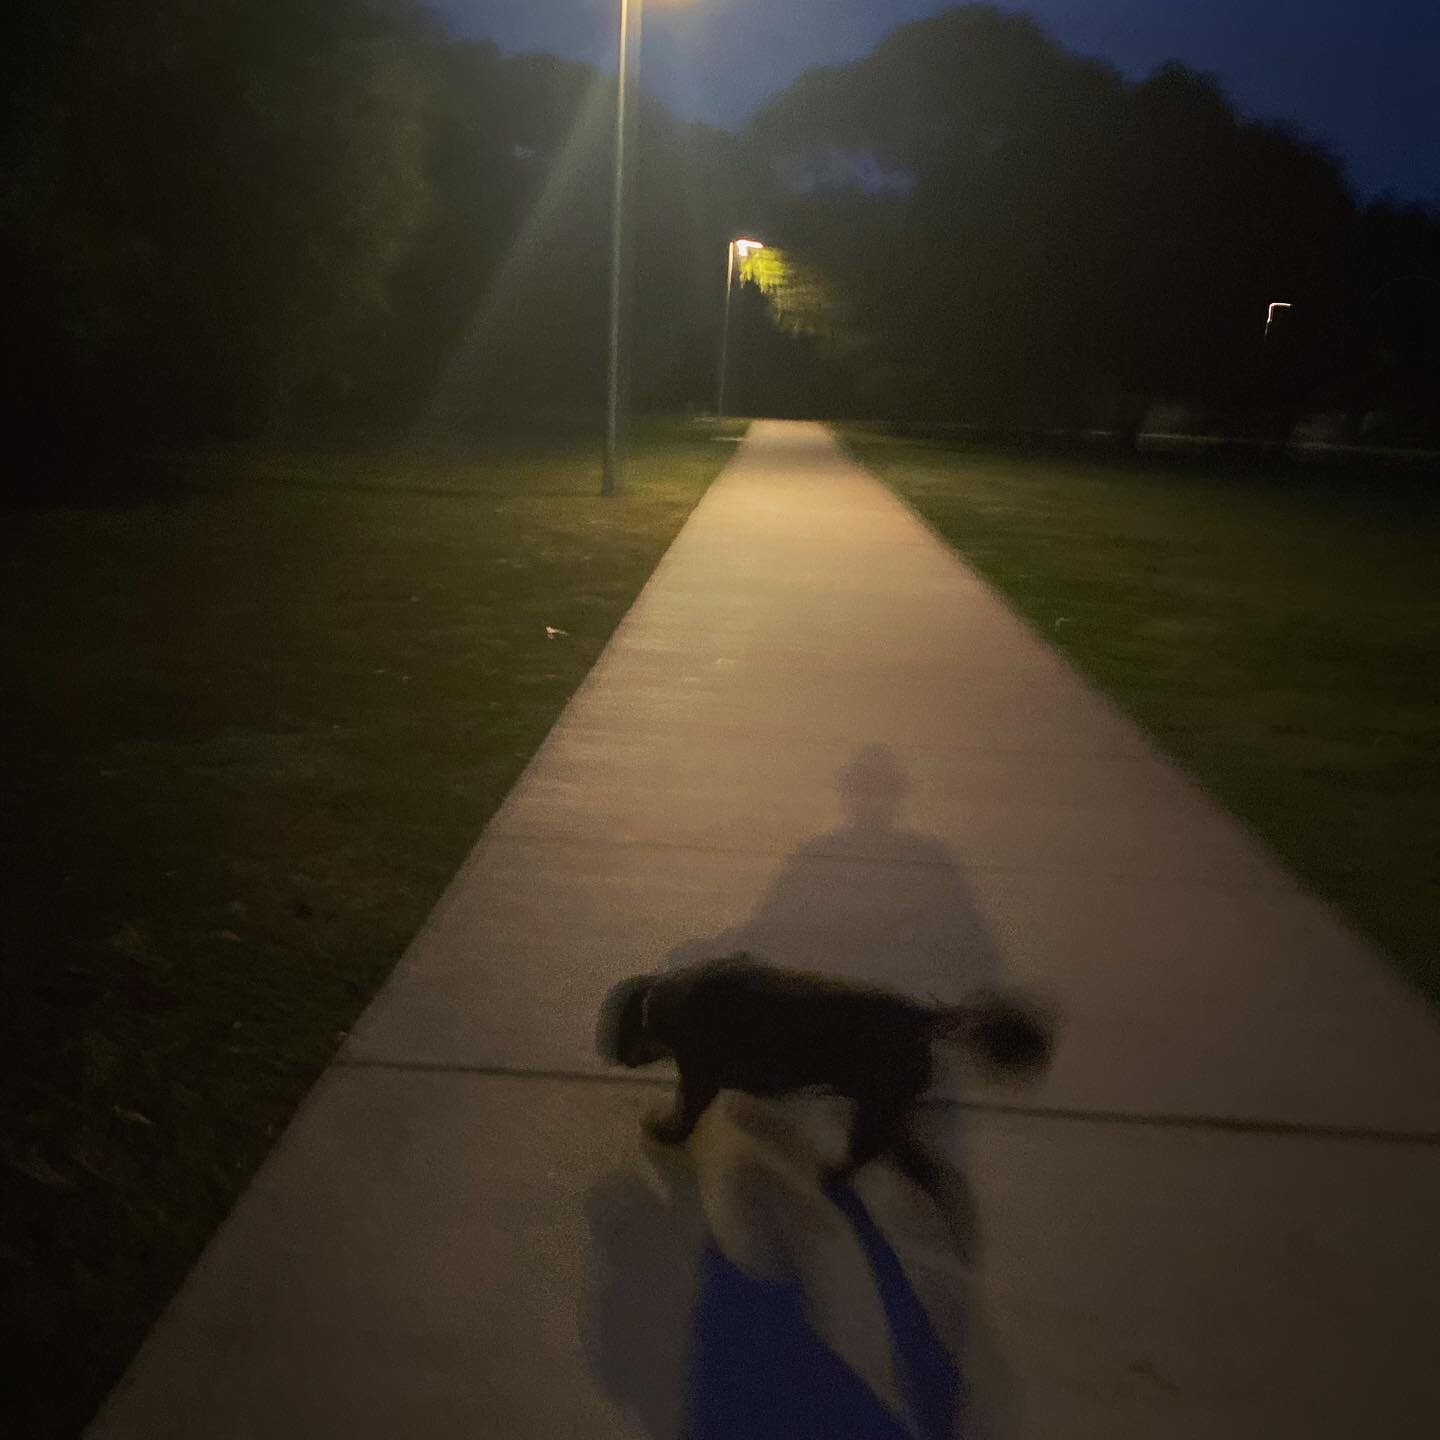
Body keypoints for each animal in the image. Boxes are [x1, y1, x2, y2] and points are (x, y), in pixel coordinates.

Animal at [590, 956, 1054, 1192]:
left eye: (615, 1031)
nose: (614, 1057)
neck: (667, 1002)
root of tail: (924, 1018)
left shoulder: (700, 1076)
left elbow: (685, 1113)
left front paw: (666, 1132)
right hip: (885, 1108)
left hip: (874, 1108)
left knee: (871, 1150)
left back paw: (835, 1176)